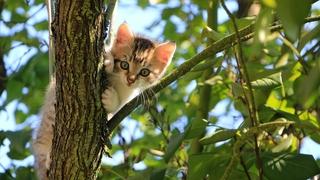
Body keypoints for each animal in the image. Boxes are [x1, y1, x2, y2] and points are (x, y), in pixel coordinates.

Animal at [32, 22, 175, 180]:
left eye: (144, 72)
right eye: (124, 64)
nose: (130, 80)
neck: (119, 82)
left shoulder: (127, 97)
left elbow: (118, 106)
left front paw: (111, 99)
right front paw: (108, 60)